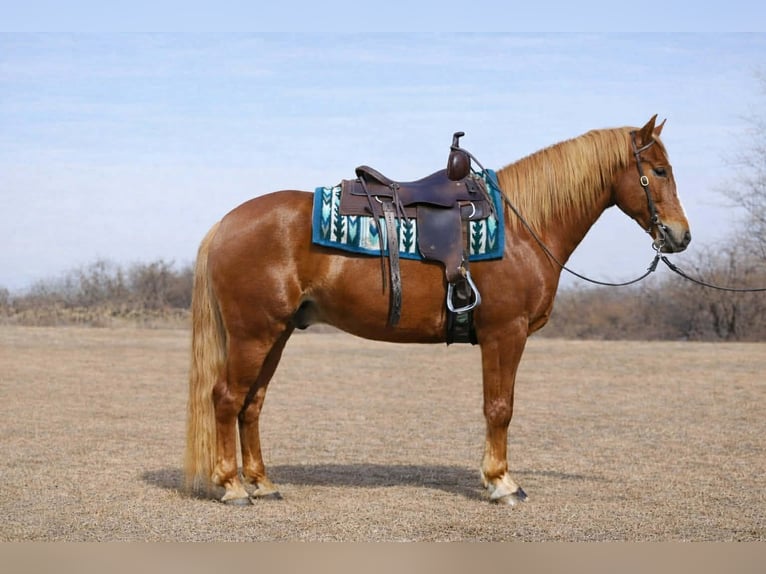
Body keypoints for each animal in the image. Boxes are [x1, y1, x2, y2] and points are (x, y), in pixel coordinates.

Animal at [184, 115, 691, 506]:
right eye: (659, 170)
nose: (680, 235)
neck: (522, 227)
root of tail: (225, 224)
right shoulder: (505, 333)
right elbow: (499, 408)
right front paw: (502, 483)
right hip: (254, 333)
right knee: (226, 398)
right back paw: (232, 487)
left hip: (278, 332)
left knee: (252, 404)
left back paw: (262, 483)